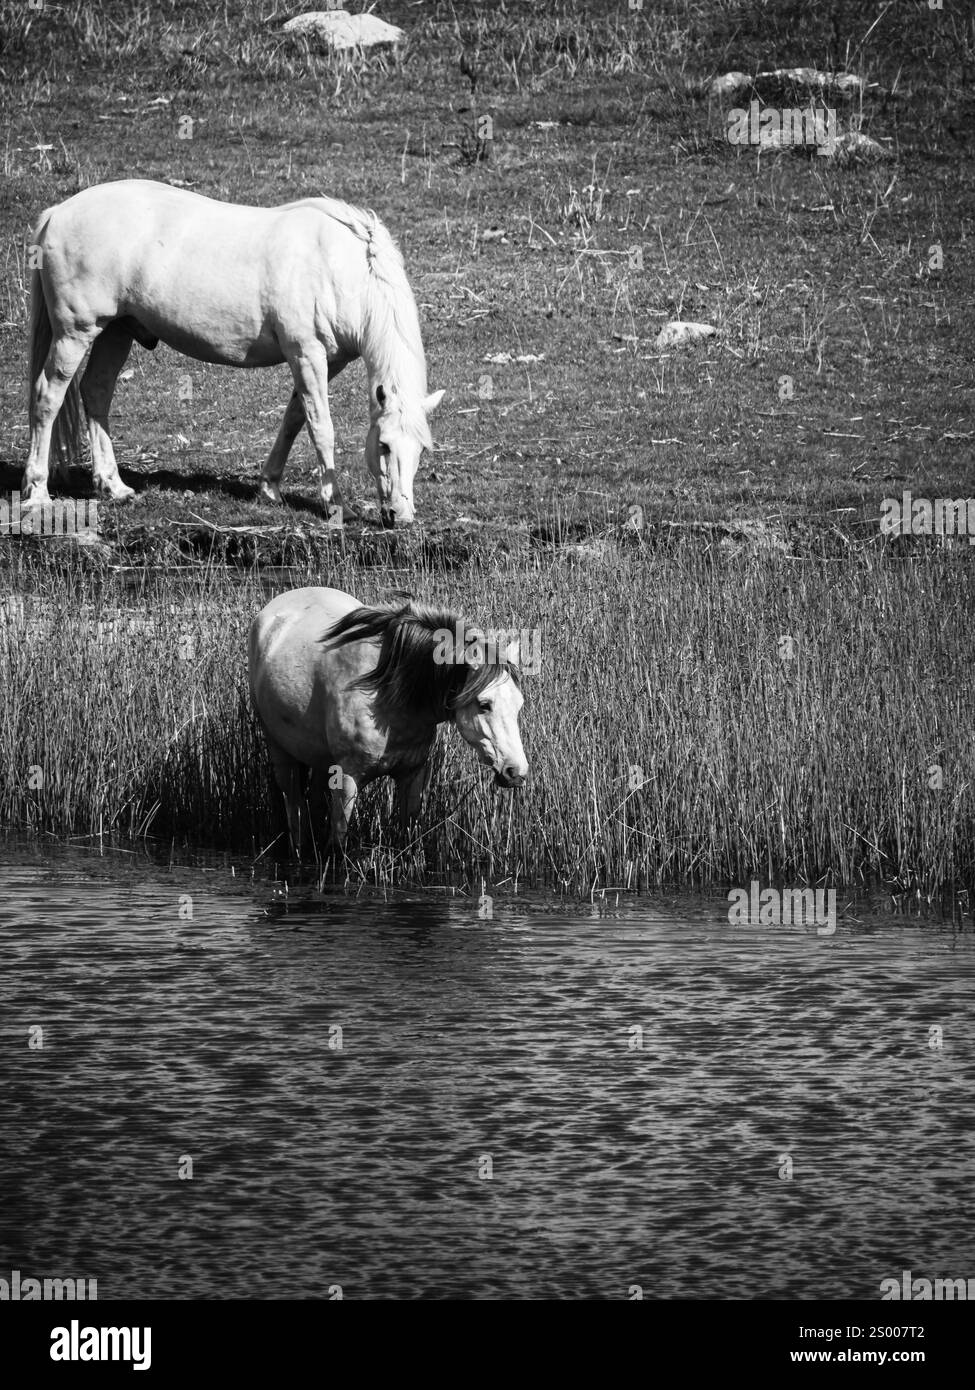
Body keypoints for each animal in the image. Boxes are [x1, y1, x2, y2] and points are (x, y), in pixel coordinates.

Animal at [24, 179, 444, 525]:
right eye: (384, 444)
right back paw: (38, 492)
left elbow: (294, 418)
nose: (401, 516)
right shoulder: (306, 354)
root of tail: (57, 213)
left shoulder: (327, 360)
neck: (339, 267)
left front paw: (270, 487)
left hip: (116, 331)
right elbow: (320, 427)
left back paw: (113, 486)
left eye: (421, 449)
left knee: (96, 392)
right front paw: (335, 503)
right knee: (48, 397)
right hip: (75, 334)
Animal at [248, 586, 528, 858]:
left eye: (519, 704)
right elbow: (337, 846)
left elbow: (409, 842)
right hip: (282, 756)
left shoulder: (412, 775)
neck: (388, 694)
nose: (516, 772)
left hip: (319, 760)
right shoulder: (346, 780)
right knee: (295, 811)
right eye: (484, 704)